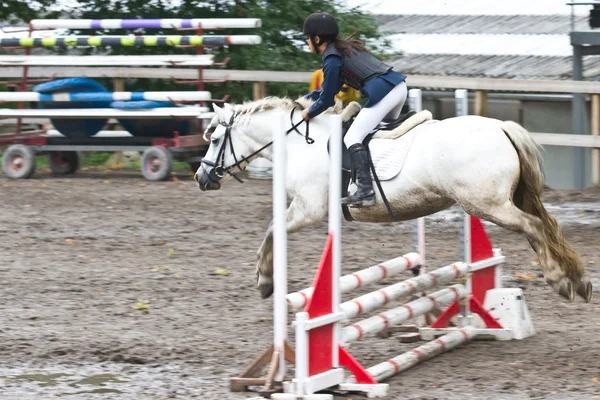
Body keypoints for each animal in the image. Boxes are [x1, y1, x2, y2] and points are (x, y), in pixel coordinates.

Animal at [196, 97, 592, 304]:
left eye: (214, 140)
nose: (201, 178)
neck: (297, 141)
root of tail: (501, 127)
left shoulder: (309, 208)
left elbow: (272, 230)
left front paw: (265, 281)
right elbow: (273, 229)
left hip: (487, 204)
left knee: (534, 226)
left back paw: (560, 280)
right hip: (497, 202)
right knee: (542, 228)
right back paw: (578, 281)